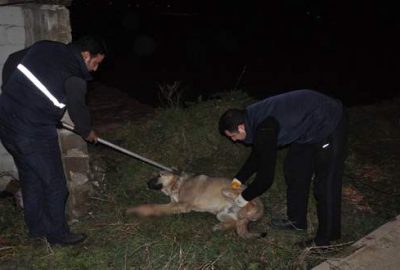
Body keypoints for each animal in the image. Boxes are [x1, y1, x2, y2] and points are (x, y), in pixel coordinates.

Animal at [125, 171, 266, 238]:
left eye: (160, 175)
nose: (147, 183)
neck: (178, 184)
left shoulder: (182, 205)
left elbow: (153, 206)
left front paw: (139, 210)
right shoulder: (174, 203)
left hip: (229, 192)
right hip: (222, 214)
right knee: (234, 223)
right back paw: (220, 227)